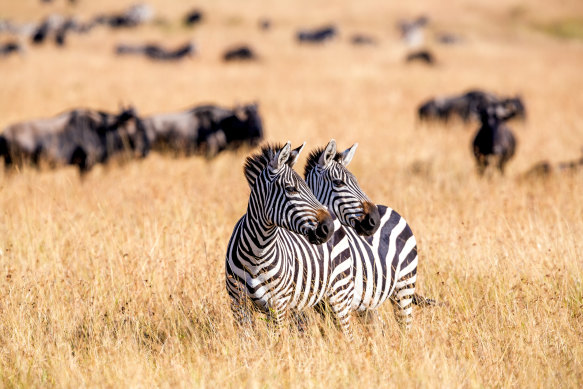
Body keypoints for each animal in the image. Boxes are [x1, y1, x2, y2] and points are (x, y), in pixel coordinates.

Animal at [226, 142, 356, 336]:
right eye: (291, 189)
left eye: (307, 188)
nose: (328, 228)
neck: (257, 251)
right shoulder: (239, 304)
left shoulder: (277, 305)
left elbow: (277, 340)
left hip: (339, 293)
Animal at [306, 139, 434, 328]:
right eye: (338, 183)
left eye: (356, 181)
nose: (375, 219)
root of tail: (389, 209)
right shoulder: (321, 305)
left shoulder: (340, 297)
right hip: (369, 301)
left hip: (404, 285)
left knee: (405, 325)